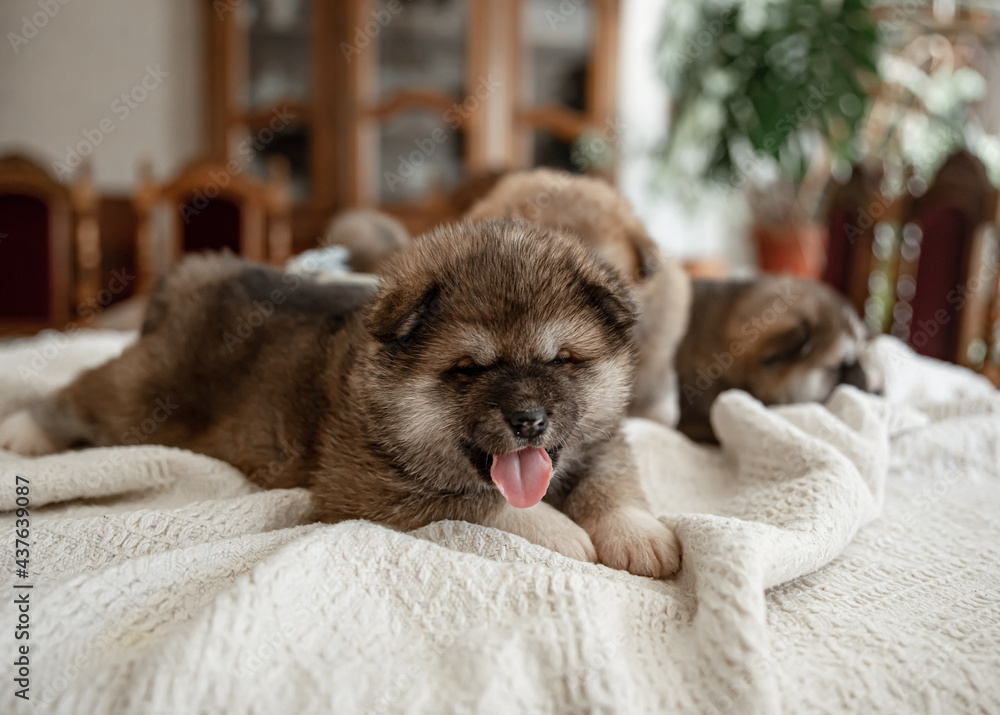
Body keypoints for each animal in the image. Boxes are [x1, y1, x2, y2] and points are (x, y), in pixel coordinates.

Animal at [0, 221, 680, 580]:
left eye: (562, 360)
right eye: (468, 370)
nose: (530, 421)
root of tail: (201, 273)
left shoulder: (603, 438)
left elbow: (612, 480)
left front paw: (638, 533)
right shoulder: (368, 490)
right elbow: (486, 505)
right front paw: (562, 532)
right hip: (140, 400)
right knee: (77, 394)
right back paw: (24, 432)